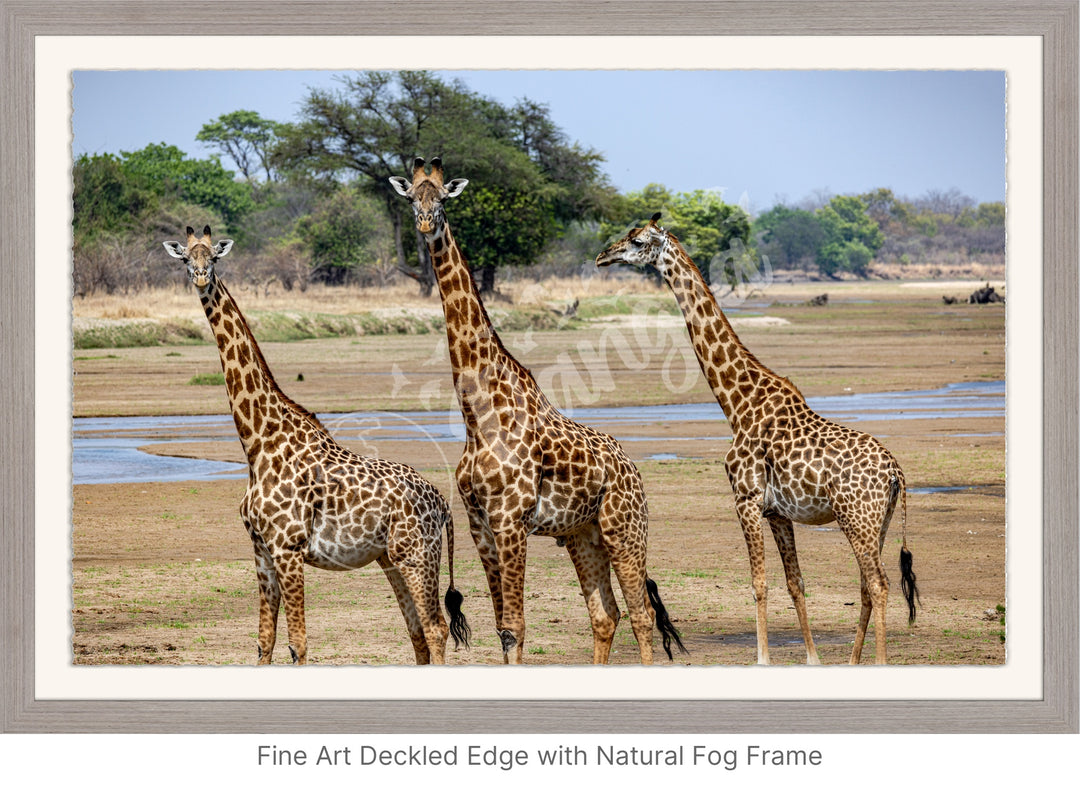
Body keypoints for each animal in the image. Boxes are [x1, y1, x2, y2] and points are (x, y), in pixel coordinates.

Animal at [162, 224, 466, 660]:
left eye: (214, 257)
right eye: (187, 258)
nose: (201, 278)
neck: (257, 443)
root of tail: (442, 503)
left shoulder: (288, 549)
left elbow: (298, 644)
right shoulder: (261, 550)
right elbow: (264, 641)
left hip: (417, 554)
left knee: (435, 628)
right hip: (390, 558)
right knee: (416, 632)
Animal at [393, 159, 686, 664]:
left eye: (444, 199)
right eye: (412, 196)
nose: (427, 225)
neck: (478, 416)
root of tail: (632, 469)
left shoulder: (512, 521)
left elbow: (516, 628)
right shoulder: (480, 525)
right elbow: (502, 628)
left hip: (625, 529)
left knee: (643, 615)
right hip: (584, 535)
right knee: (606, 615)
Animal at [591, 213, 920, 664]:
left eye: (637, 241)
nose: (602, 256)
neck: (737, 404)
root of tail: (895, 472)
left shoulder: (745, 499)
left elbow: (759, 583)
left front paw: (762, 657)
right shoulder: (778, 513)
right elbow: (795, 583)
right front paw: (813, 658)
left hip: (858, 518)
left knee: (879, 584)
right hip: (877, 523)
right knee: (867, 586)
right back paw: (852, 661)